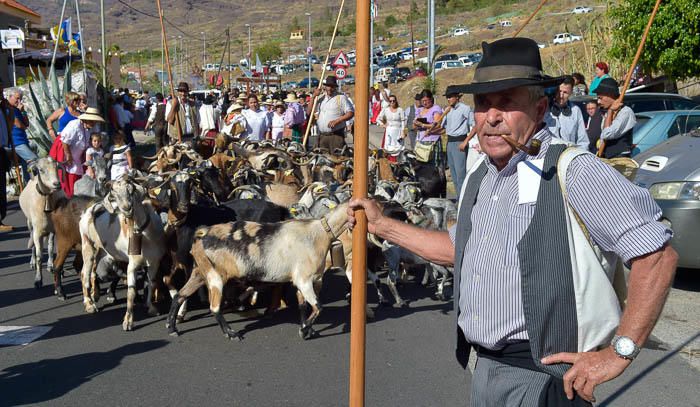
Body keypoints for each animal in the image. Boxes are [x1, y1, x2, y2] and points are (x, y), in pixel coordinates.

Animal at [167, 202, 348, 340]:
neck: (318, 233)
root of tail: (202, 233)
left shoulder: (310, 280)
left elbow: (303, 307)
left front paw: (307, 329)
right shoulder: (303, 280)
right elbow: (318, 307)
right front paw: (304, 331)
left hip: (199, 272)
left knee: (179, 296)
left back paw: (172, 328)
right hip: (215, 277)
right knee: (214, 307)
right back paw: (231, 334)